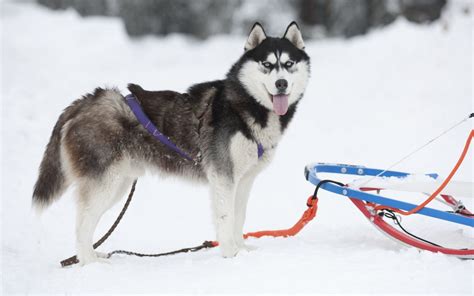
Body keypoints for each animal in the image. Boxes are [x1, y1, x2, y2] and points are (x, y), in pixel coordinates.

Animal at [33, 22, 312, 264]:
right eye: (267, 64)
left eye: (288, 64)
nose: (281, 83)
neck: (245, 105)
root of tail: (86, 101)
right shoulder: (223, 177)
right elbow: (226, 217)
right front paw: (231, 254)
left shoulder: (243, 180)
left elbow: (239, 218)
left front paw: (241, 249)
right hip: (105, 183)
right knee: (82, 223)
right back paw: (90, 262)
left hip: (118, 184)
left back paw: (92, 255)